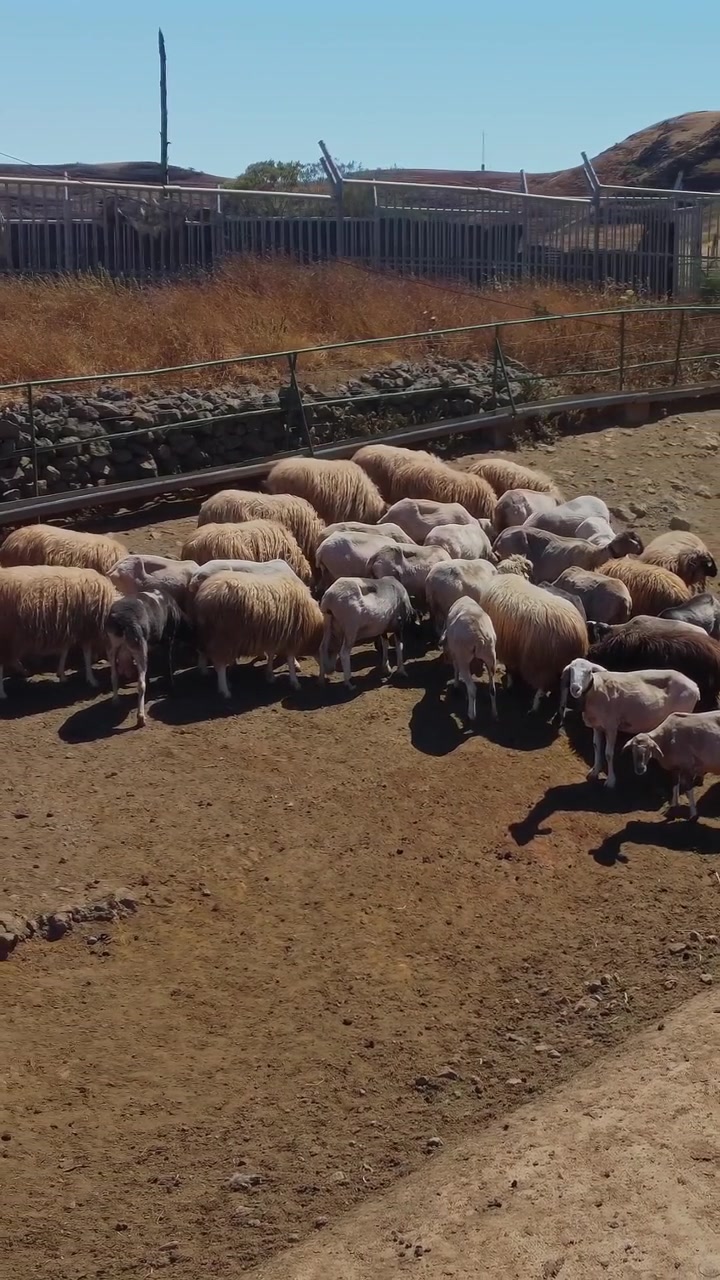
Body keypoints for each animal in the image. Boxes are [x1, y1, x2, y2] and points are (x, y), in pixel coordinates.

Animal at [0, 565, 117, 698]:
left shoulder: (72, 627)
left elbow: (65, 649)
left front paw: (61, 674)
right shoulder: (85, 627)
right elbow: (86, 654)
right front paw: (92, 680)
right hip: (6, 632)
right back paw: (3, 692)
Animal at [105, 587, 193, 728]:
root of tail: (119, 621)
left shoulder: (151, 645)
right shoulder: (168, 638)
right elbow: (167, 664)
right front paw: (172, 688)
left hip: (112, 646)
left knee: (114, 676)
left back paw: (115, 701)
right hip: (139, 645)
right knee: (140, 683)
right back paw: (141, 718)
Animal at [192, 572, 323, 697]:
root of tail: (203, 594)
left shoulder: (274, 636)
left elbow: (271, 654)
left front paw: (270, 675)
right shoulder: (291, 637)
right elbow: (290, 660)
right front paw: (295, 682)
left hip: (209, 633)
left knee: (204, 652)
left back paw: (208, 673)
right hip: (224, 636)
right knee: (219, 665)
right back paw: (225, 690)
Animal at [474, 573, 588, 711]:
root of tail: (577, 634)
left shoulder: (506, 646)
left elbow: (510, 668)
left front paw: (510, 684)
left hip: (543, 664)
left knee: (543, 686)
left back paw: (534, 706)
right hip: (562, 666)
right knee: (564, 688)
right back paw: (561, 708)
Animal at [569, 665, 700, 789]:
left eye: (589, 671)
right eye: (570, 670)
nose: (575, 688)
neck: (597, 689)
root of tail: (695, 686)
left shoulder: (611, 726)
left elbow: (608, 754)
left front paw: (611, 781)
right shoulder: (597, 726)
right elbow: (596, 746)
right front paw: (595, 771)